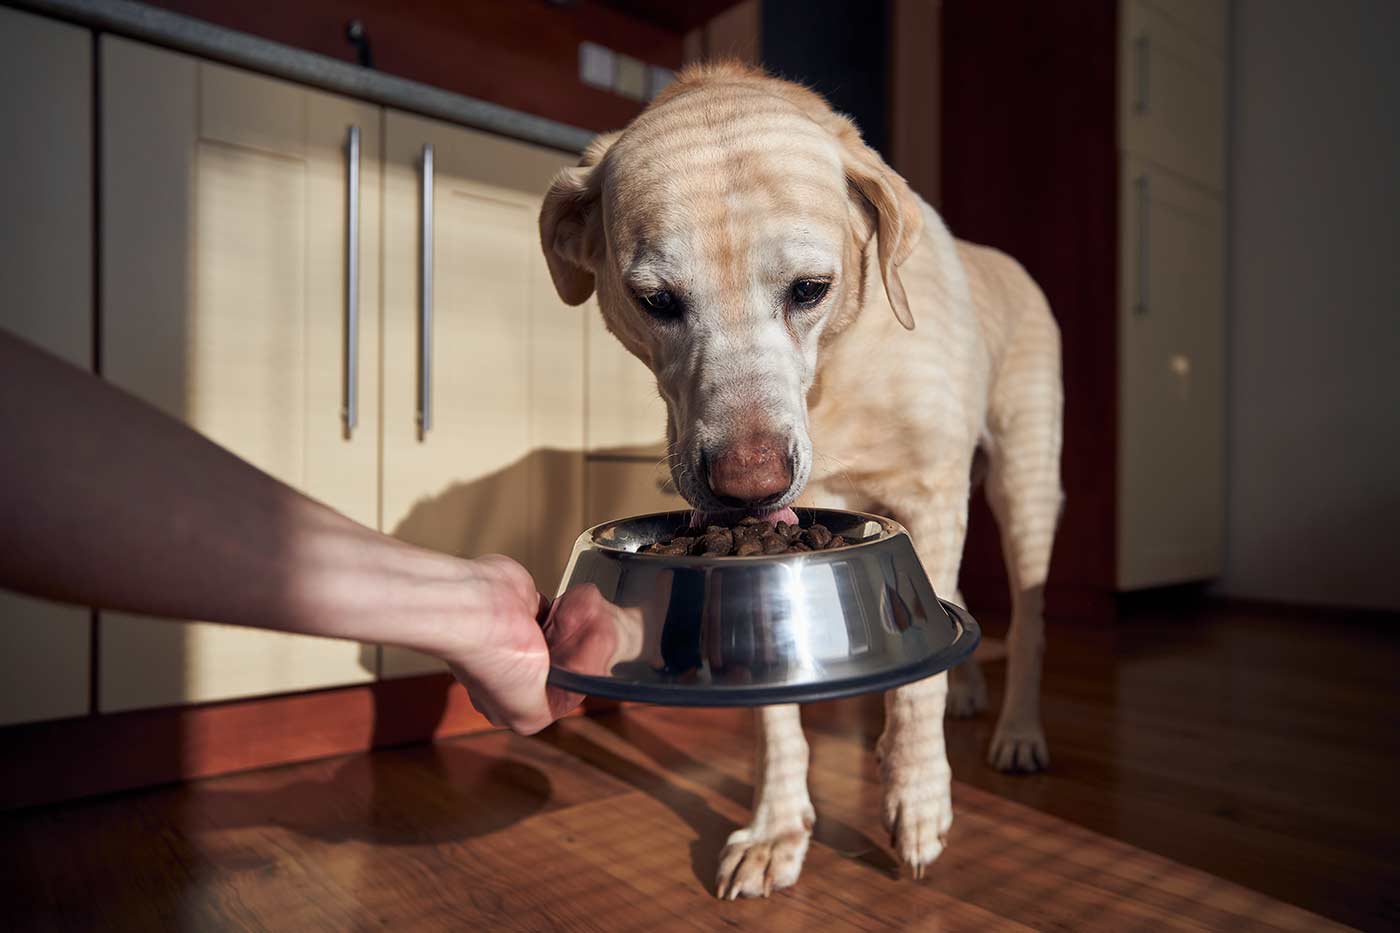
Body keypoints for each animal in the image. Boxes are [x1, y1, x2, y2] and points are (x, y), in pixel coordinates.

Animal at [534, 63, 1058, 896]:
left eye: (810, 288)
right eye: (654, 301)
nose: (749, 484)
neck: (833, 373)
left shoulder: (931, 495)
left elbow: (917, 687)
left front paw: (918, 801)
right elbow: (774, 708)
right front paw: (777, 827)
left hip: (1024, 479)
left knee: (1031, 614)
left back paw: (1017, 731)